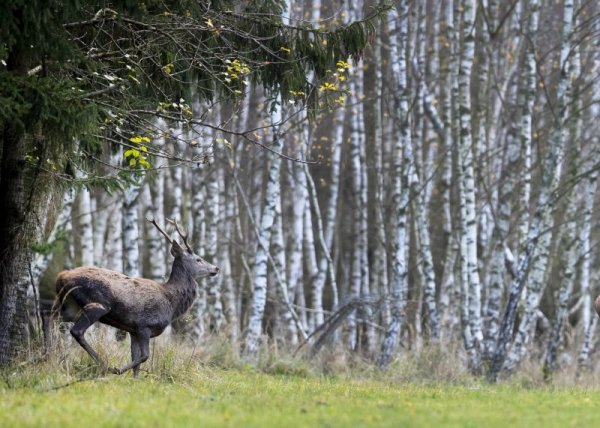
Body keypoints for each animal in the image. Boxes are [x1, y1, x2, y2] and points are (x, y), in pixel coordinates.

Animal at [54, 219, 218, 376]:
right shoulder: (145, 325)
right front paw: (119, 370)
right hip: (96, 304)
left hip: (70, 306)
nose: (216, 268)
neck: (172, 303)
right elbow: (145, 356)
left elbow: (136, 360)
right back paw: (106, 366)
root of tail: (62, 276)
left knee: (52, 321)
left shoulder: (133, 330)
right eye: (198, 259)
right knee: (77, 331)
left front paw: (135, 381)